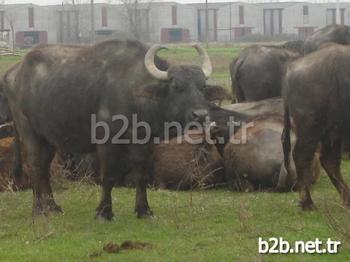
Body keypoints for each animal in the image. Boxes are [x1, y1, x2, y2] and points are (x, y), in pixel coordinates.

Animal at [4, 40, 221, 220]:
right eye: (177, 86)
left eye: (202, 86)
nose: (201, 115)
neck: (134, 92)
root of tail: (13, 73)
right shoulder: (106, 142)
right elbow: (107, 176)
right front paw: (104, 212)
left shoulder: (145, 142)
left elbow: (141, 175)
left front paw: (144, 210)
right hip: (28, 130)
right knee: (35, 165)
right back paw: (39, 209)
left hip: (49, 138)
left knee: (43, 167)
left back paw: (52, 207)